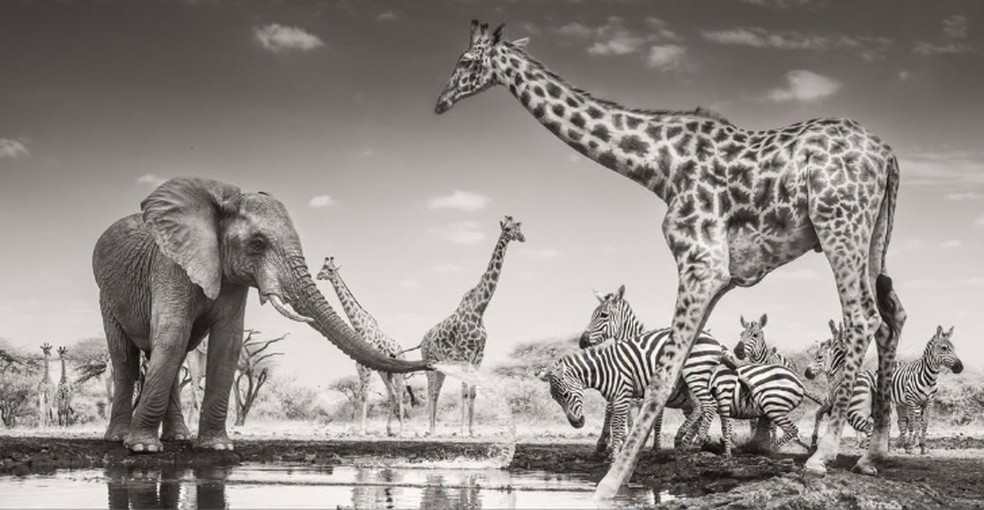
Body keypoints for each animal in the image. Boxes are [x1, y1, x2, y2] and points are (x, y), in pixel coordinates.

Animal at [93, 177, 430, 452]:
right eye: (257, 243)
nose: (431, 361)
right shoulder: (170, 266)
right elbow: (173, 336)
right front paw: (142, 449)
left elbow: (228, 343)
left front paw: (216, 447)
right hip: (106, 295)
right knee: (127, 357)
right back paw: (120, 439)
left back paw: (178, 438)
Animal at [539, 327, 722, 461]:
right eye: (555, 398)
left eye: (565, 395)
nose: (576, 424)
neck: (604, 370)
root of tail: (713, 338)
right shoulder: (617, 398)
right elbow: (619, 423)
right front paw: (618, 449)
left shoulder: (622, 395)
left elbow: (618, 427)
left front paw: (614, 457)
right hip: (687, 381)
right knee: (699, 406)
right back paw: (682, 440)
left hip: (695, 372)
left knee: (710, 404)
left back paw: (698, 440)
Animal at [579, 285, 719, 454]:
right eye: (592, 315)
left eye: (604, 315)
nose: (582, 341)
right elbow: (612, 409)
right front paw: (607, 442)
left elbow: (653, 420)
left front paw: (651, 446)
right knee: (699, 412)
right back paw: (690, 442)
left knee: (705, 408)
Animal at [804, 320, 877, 449]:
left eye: (819, 357)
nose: (806, 373)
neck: (838, 368)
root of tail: (870, 379)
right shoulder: (833, 406)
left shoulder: (829, 402)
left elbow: (818, 414)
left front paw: (814, 442)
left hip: (854, 412)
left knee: (869, 428)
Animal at [891, 326, 963, 454]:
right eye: (944, 348)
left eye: (954, 348)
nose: (960, 367)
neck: (929, 378)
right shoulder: (912, 401)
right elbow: (913, 424)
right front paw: (911, 446)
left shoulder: (928, 402)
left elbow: (924, 424)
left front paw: (923, 446)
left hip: (901, 403)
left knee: (901, 421)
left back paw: (901, 443)